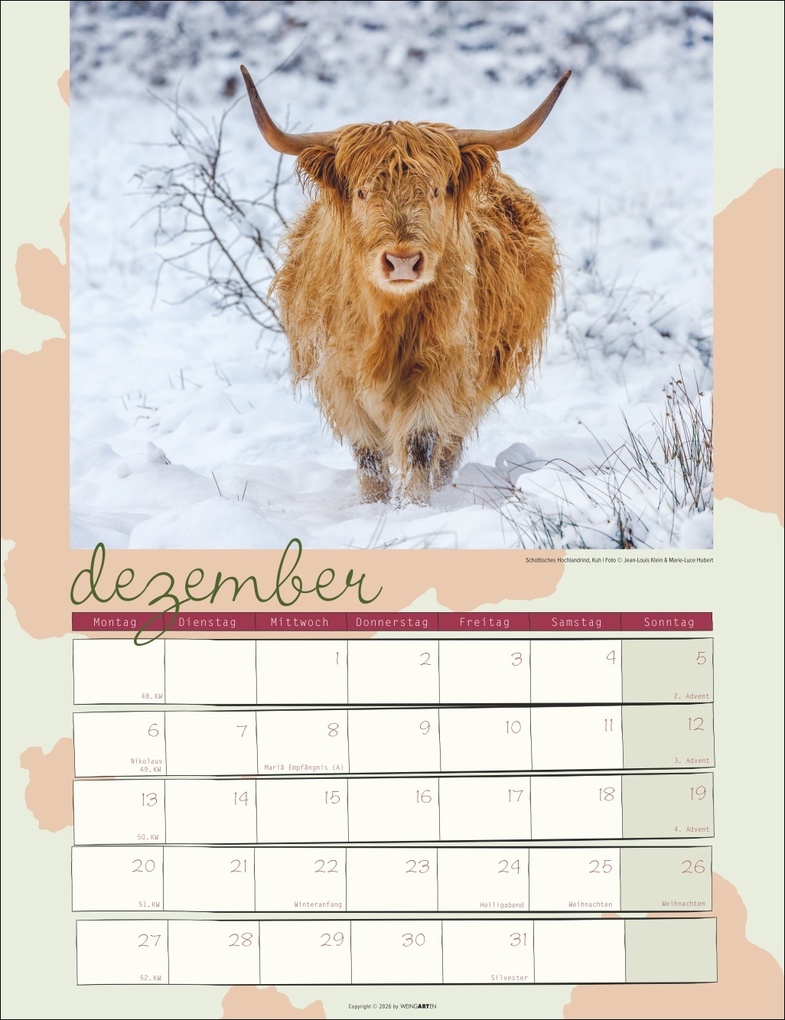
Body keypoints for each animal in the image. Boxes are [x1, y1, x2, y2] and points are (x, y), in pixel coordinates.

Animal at [241, 65, 570, 506]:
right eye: (363, 192)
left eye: (434, 190)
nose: (401, 261)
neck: (385, 319)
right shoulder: (339, 374)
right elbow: (368, 454)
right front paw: (372, 505)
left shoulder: (441, 368)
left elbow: (420, 443)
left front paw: (414, 507)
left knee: (449, 446)